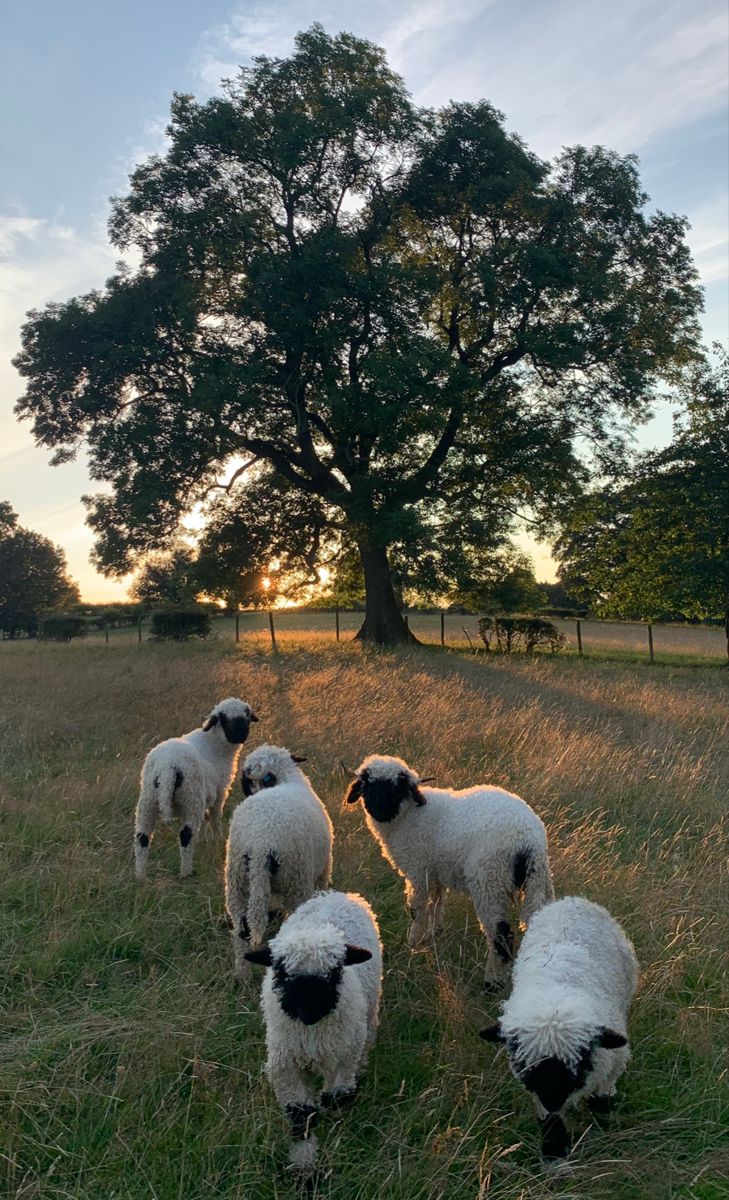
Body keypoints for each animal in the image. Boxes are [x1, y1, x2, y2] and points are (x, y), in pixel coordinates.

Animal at [133, 696, 258, 883]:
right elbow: (214, 818)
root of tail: (167, 766)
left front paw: (204, 841)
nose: (241, 736)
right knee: (186, 836)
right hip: (191, 800)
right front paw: (218, 839)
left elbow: (205, 819)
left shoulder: (206, 796)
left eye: (247, 717)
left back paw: (141, 876)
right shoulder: (219, 793)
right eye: (224, 719)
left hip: (148, 801)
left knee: (142, 837)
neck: (215, 744)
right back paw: (187, 872)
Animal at [225, 739, 333, 984]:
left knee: (241, 931)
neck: (286, 778)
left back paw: (242, 975)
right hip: (297, 880)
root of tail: (260, 841)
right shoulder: (323, 870)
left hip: (237, 881)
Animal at [244, 888, 381, 1166]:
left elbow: (336, 1095)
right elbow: (300, 1113)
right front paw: (303, 1159)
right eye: (281, 973)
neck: (312, 1035)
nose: (309, 1012)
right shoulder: (285, 1065)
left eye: (335, 972)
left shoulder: (343, 1059)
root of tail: (336, 894)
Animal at [345, 758, 556, 984]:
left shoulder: (418, 871)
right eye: (368, 785)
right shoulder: (436, 872)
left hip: (490, 883)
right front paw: (432, 934)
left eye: (396, 788)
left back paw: (492, 981)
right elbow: (437, 903)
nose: (379, 811)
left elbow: (416, 909)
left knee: (501, 937)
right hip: (537, 882)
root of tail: (528, 842)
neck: (409, 816)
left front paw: (414, 942)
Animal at [482, 897, 642, 1156]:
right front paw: (554, 1150)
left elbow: (601, 1100)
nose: (553, 1099)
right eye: (525, 1061)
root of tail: (572, 900)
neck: (554, 998)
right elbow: (550, 1121)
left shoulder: (612, 1062)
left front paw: (603, 1123)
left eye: (579, 1058)